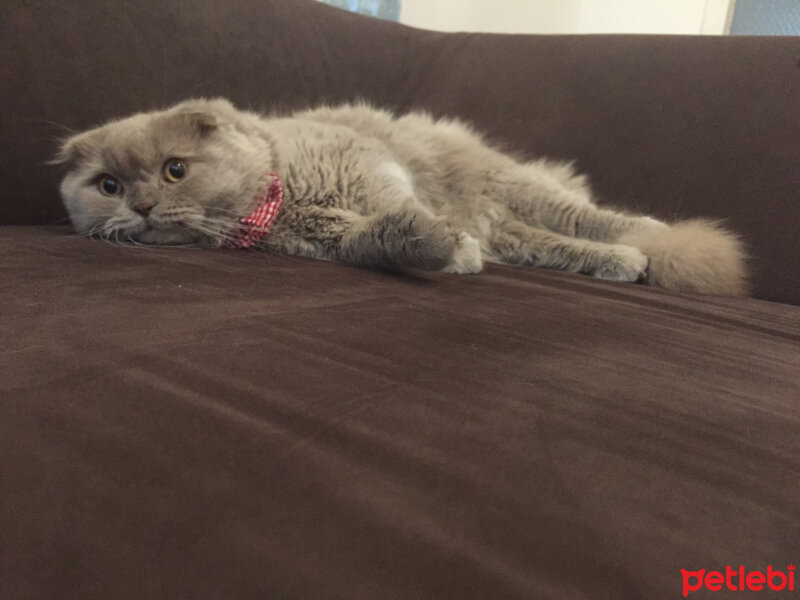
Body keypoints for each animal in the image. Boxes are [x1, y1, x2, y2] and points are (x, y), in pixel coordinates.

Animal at [53, 98, 748, 296]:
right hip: (518, 231)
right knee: (555, 245)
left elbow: (392, 200)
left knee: (596, 218)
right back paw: (620, 263)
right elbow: (370, 235)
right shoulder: (323, 235)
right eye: (108, 186)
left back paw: (648, 242)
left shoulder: (367, 164)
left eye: (174, 170)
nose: (141, 207)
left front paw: (448, 245)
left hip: (518, 189)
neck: (279, 196)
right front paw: (441, 247)